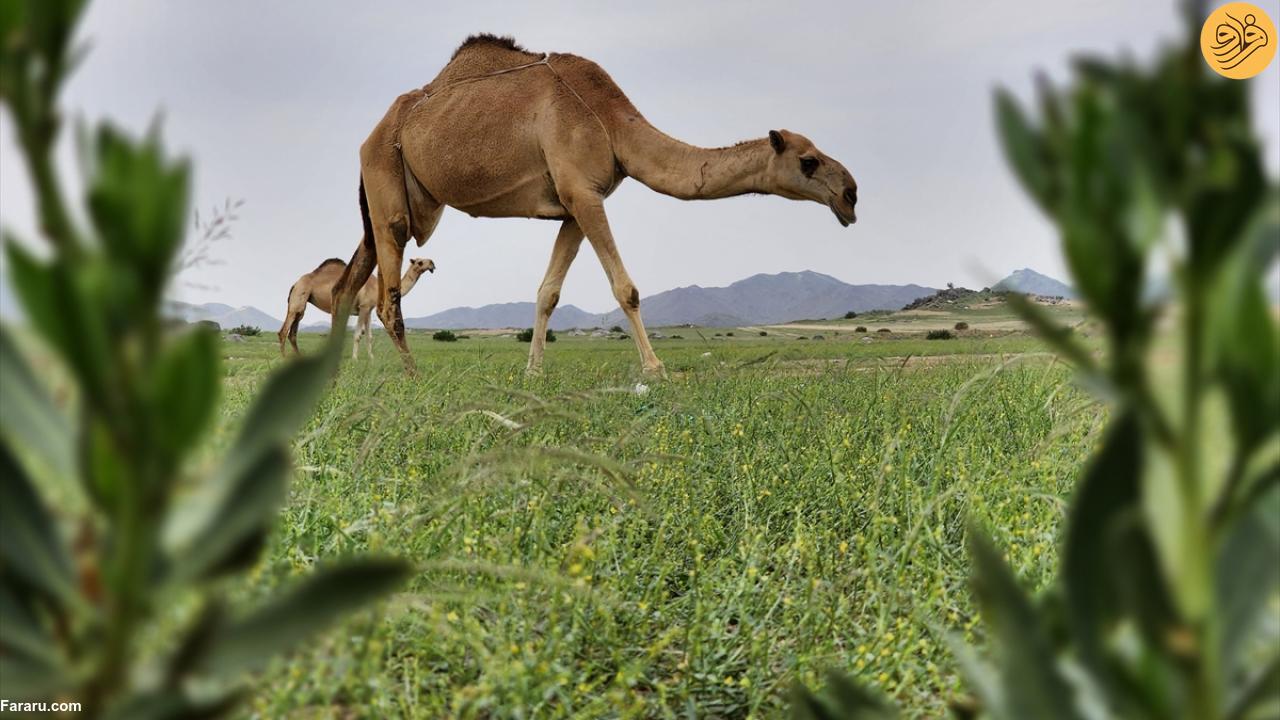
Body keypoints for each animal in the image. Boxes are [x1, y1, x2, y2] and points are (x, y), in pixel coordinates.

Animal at [280, 254, 435, 356]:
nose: (432, 263)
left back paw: (298, 358)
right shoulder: (364, 307)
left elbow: (369, 336)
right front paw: (355, 359)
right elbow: (358, 335)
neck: (378, 287)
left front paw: (371, 359)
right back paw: (284, 358)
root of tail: (295, 284)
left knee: (293, 333)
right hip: (298, 299)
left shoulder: (369, 309)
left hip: (302, 305)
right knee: (284, 331)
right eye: (419, 262)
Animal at [332, 33, 860, 371]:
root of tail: (371, 134)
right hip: (388, 184)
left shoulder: (574, 205)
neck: (610, 120)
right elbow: (626, 288)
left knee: (346, 284)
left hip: (389, 198)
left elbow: (548, 292)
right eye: (809, 161)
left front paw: (533, 372)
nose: (851, 194)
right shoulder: (583, 193)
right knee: (387, 293)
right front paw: (654, 369)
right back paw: (412, 376)